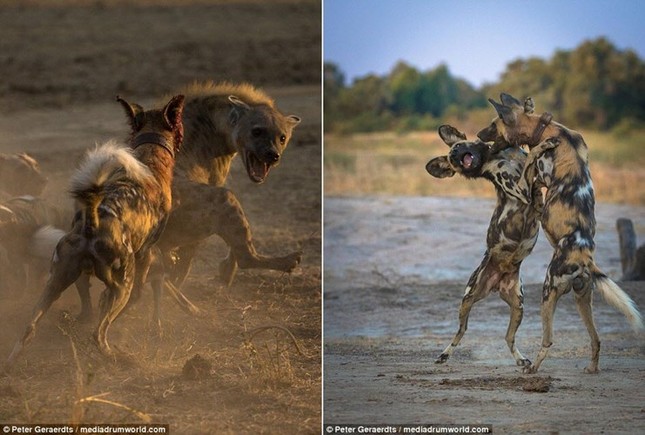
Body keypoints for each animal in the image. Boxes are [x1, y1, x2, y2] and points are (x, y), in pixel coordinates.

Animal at [5, 93, 184, 370]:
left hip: (56, 282)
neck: (149, 158)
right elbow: (137, 296)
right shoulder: (144, 255)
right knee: (98, 334)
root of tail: (92, 223)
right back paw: (118, 357)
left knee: (30, 327)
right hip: (122, 285)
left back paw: (12, 362)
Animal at [426, 124, 556, 366]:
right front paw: (544, 146)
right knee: (461, 332)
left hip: (518, 305)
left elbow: (534, 171)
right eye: (453, 160)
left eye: (458, 148)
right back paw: (444, 354)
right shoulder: (520, 188)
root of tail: (497, 281)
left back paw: (521, 360)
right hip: (467, 300)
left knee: (508, 337)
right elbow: (533, 162)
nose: (456, 158)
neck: (494, 156)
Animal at [476, 94, 640, 374]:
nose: (477, 134)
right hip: (581, 298)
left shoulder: (530, 183)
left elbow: (531, 161)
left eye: (492, 124)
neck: (544, 129)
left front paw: (541, 149)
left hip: (548, 289)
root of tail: (586, 260)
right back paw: (592, 368)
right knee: (596, 338)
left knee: (548, 339)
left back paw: (532, 367)